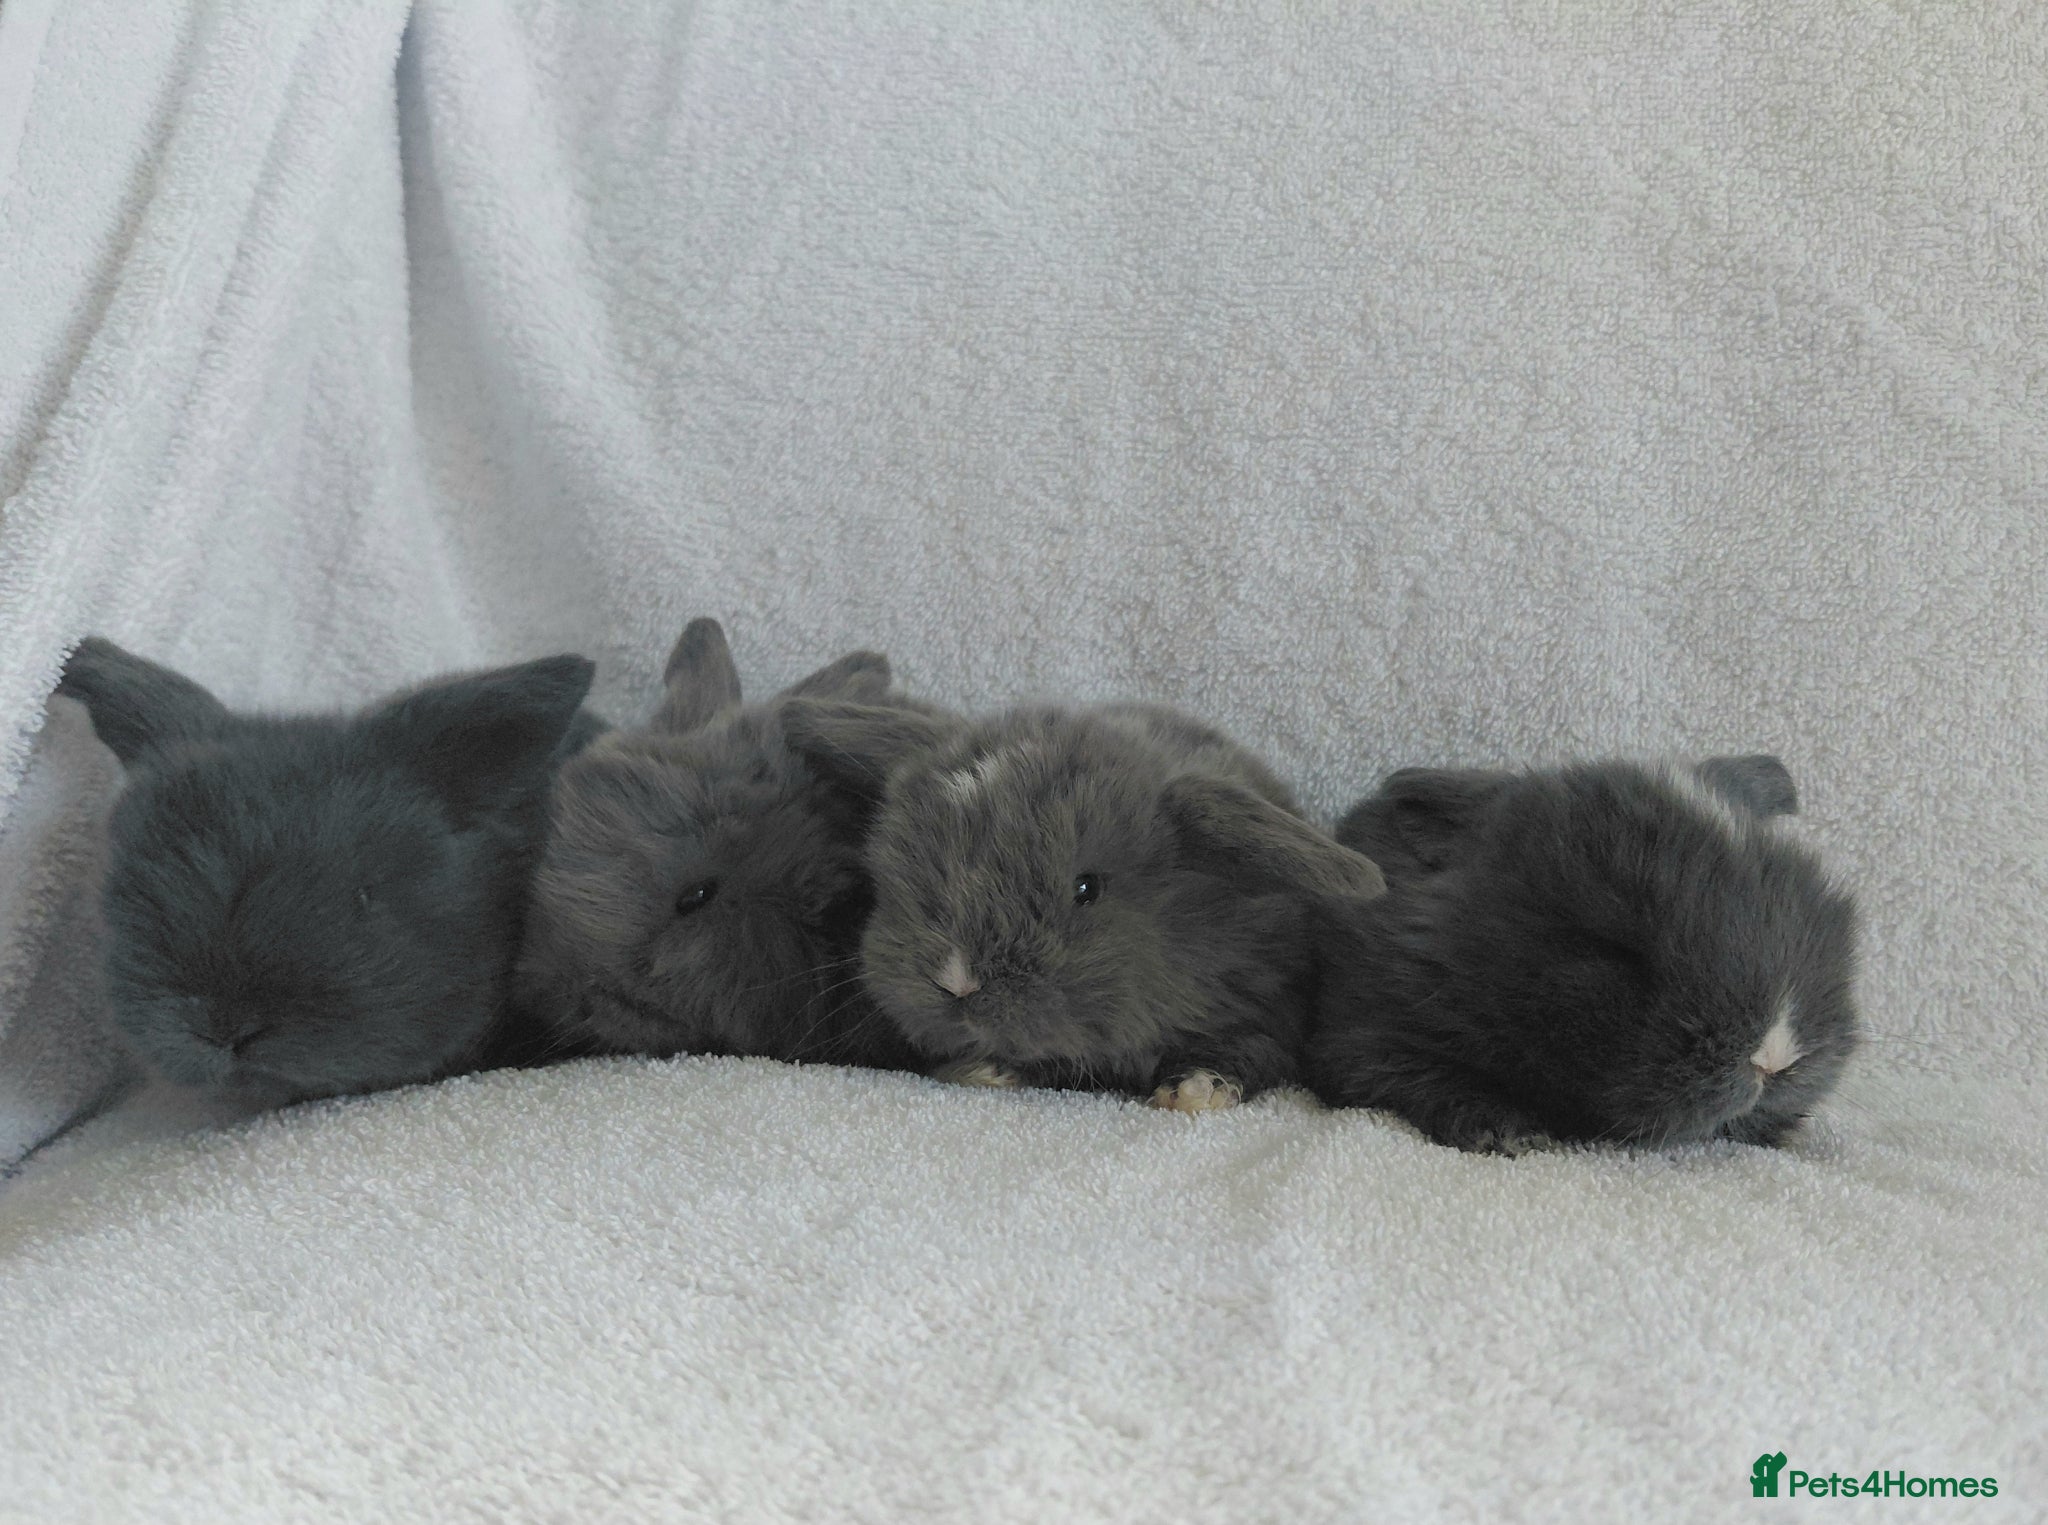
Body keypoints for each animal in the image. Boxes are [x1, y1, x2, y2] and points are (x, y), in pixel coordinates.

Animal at [779, 698, 1387, 1111]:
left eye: (1086, 888)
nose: (957, 981)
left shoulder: (1268, 1008)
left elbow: (1249, 1050)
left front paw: (1195, 1091)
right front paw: (982, 1069)